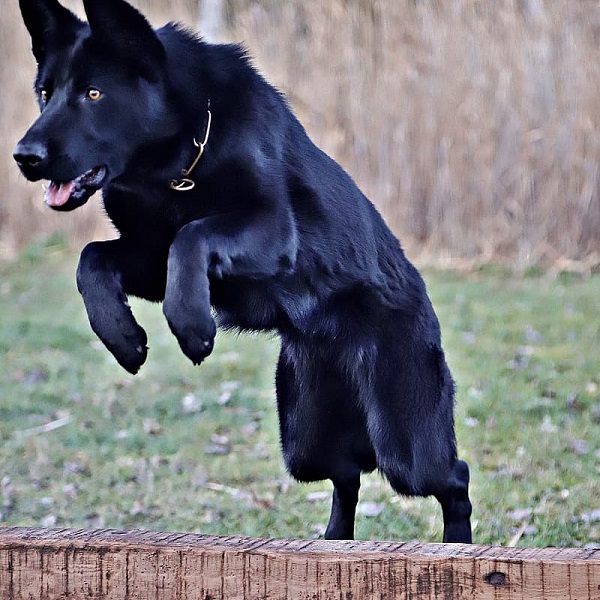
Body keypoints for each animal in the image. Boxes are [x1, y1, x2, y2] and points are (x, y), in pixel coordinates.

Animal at [14, 0, 472, 542]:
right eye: (46, 93)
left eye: (93, 93)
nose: (23, 157)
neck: (177, 162)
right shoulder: (147, 255)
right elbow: (93, 259)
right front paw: (123, 338)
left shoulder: (270, 229)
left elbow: (193, 237)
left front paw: (192, 328)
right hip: (304, 437)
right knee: (345, 475)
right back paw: (333, 544)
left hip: (405, 446)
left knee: (453, 478)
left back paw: (458, 546)